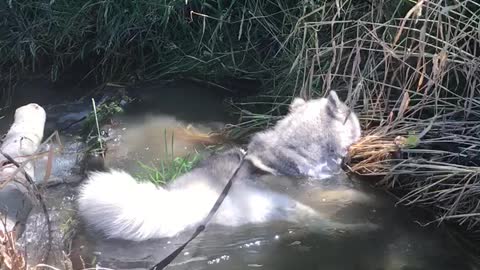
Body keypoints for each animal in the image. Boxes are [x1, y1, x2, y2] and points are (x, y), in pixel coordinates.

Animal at [76, 90, 360, 240]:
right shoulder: (315, 192)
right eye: (355, 121)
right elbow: (349, 194)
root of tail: (178, 202)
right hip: (284, 208)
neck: (294, 149)